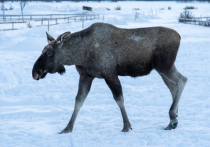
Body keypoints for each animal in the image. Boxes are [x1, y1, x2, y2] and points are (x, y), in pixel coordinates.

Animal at [32, 22, 187, 133]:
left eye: (50, 53)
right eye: (42, 51)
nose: (35, 72)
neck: (79, 54)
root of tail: (179, 36)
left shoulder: (110, 74)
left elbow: (119, 99)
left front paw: (126, 126)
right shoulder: (86, 76)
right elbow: (79, 101)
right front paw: (67, 128)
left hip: (164, 66)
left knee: (182, 80)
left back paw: (172, 117)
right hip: (161, 69)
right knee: (173, 87)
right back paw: (172, 120)